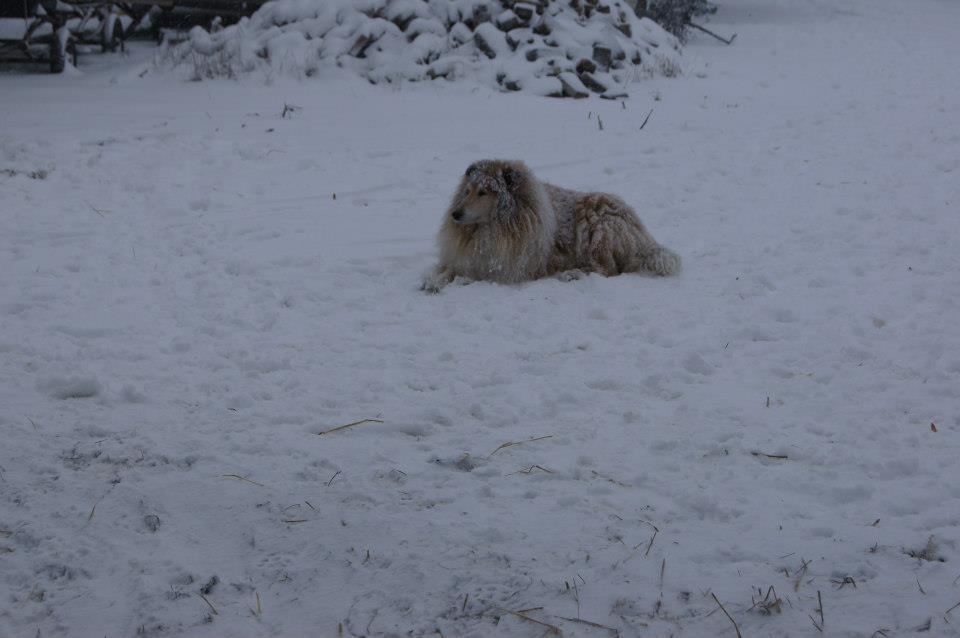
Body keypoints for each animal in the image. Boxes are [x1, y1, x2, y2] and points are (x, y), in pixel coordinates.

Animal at [422, 160, 684, 292]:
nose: (455, 214)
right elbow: (446, 269)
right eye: (467, 190)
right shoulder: (464, 256)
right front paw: (433, 279)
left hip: (597, 225)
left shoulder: (507, 268)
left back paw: (572, 274)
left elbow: (471, 275)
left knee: (607, 269)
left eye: (483, 192)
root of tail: (643, 236)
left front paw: (457, 281)